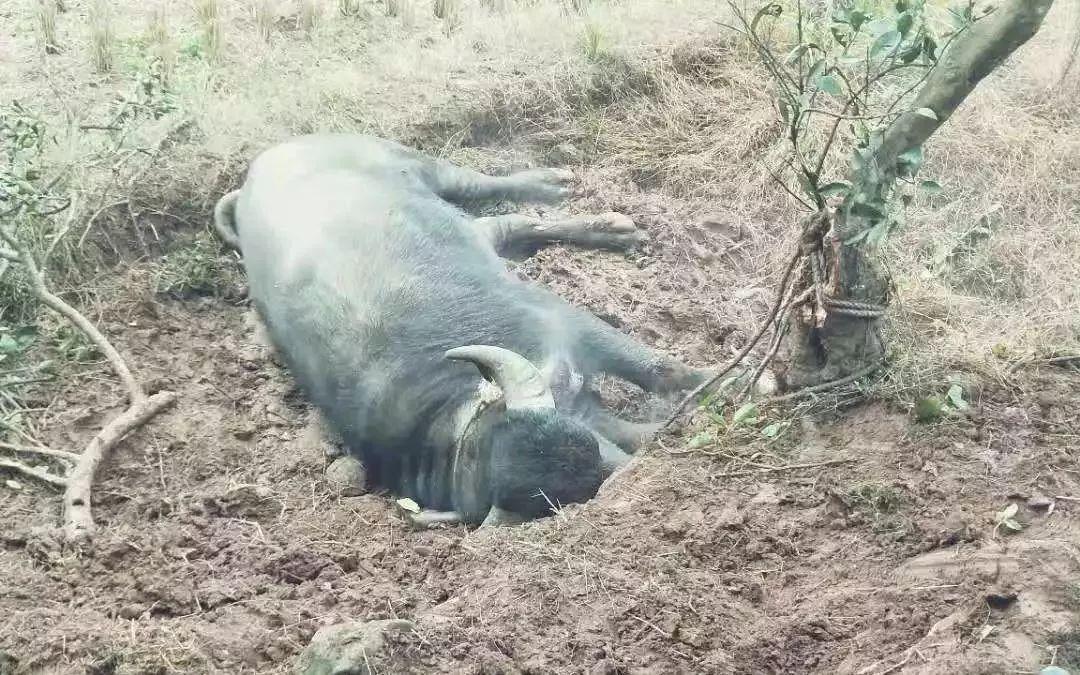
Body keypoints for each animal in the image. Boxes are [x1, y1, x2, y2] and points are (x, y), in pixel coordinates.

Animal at [214, 132, 708, 527]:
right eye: (558, 498)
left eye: (582, 448)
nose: (622, 479)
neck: (445, 399)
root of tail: (255, 174)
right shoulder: (582, 405)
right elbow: (637, 431)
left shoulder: (563, 321)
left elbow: (660, 369)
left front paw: (722, 381)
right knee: (505, 225)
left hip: (415, 162)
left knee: (482, 187)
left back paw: (562, 188)